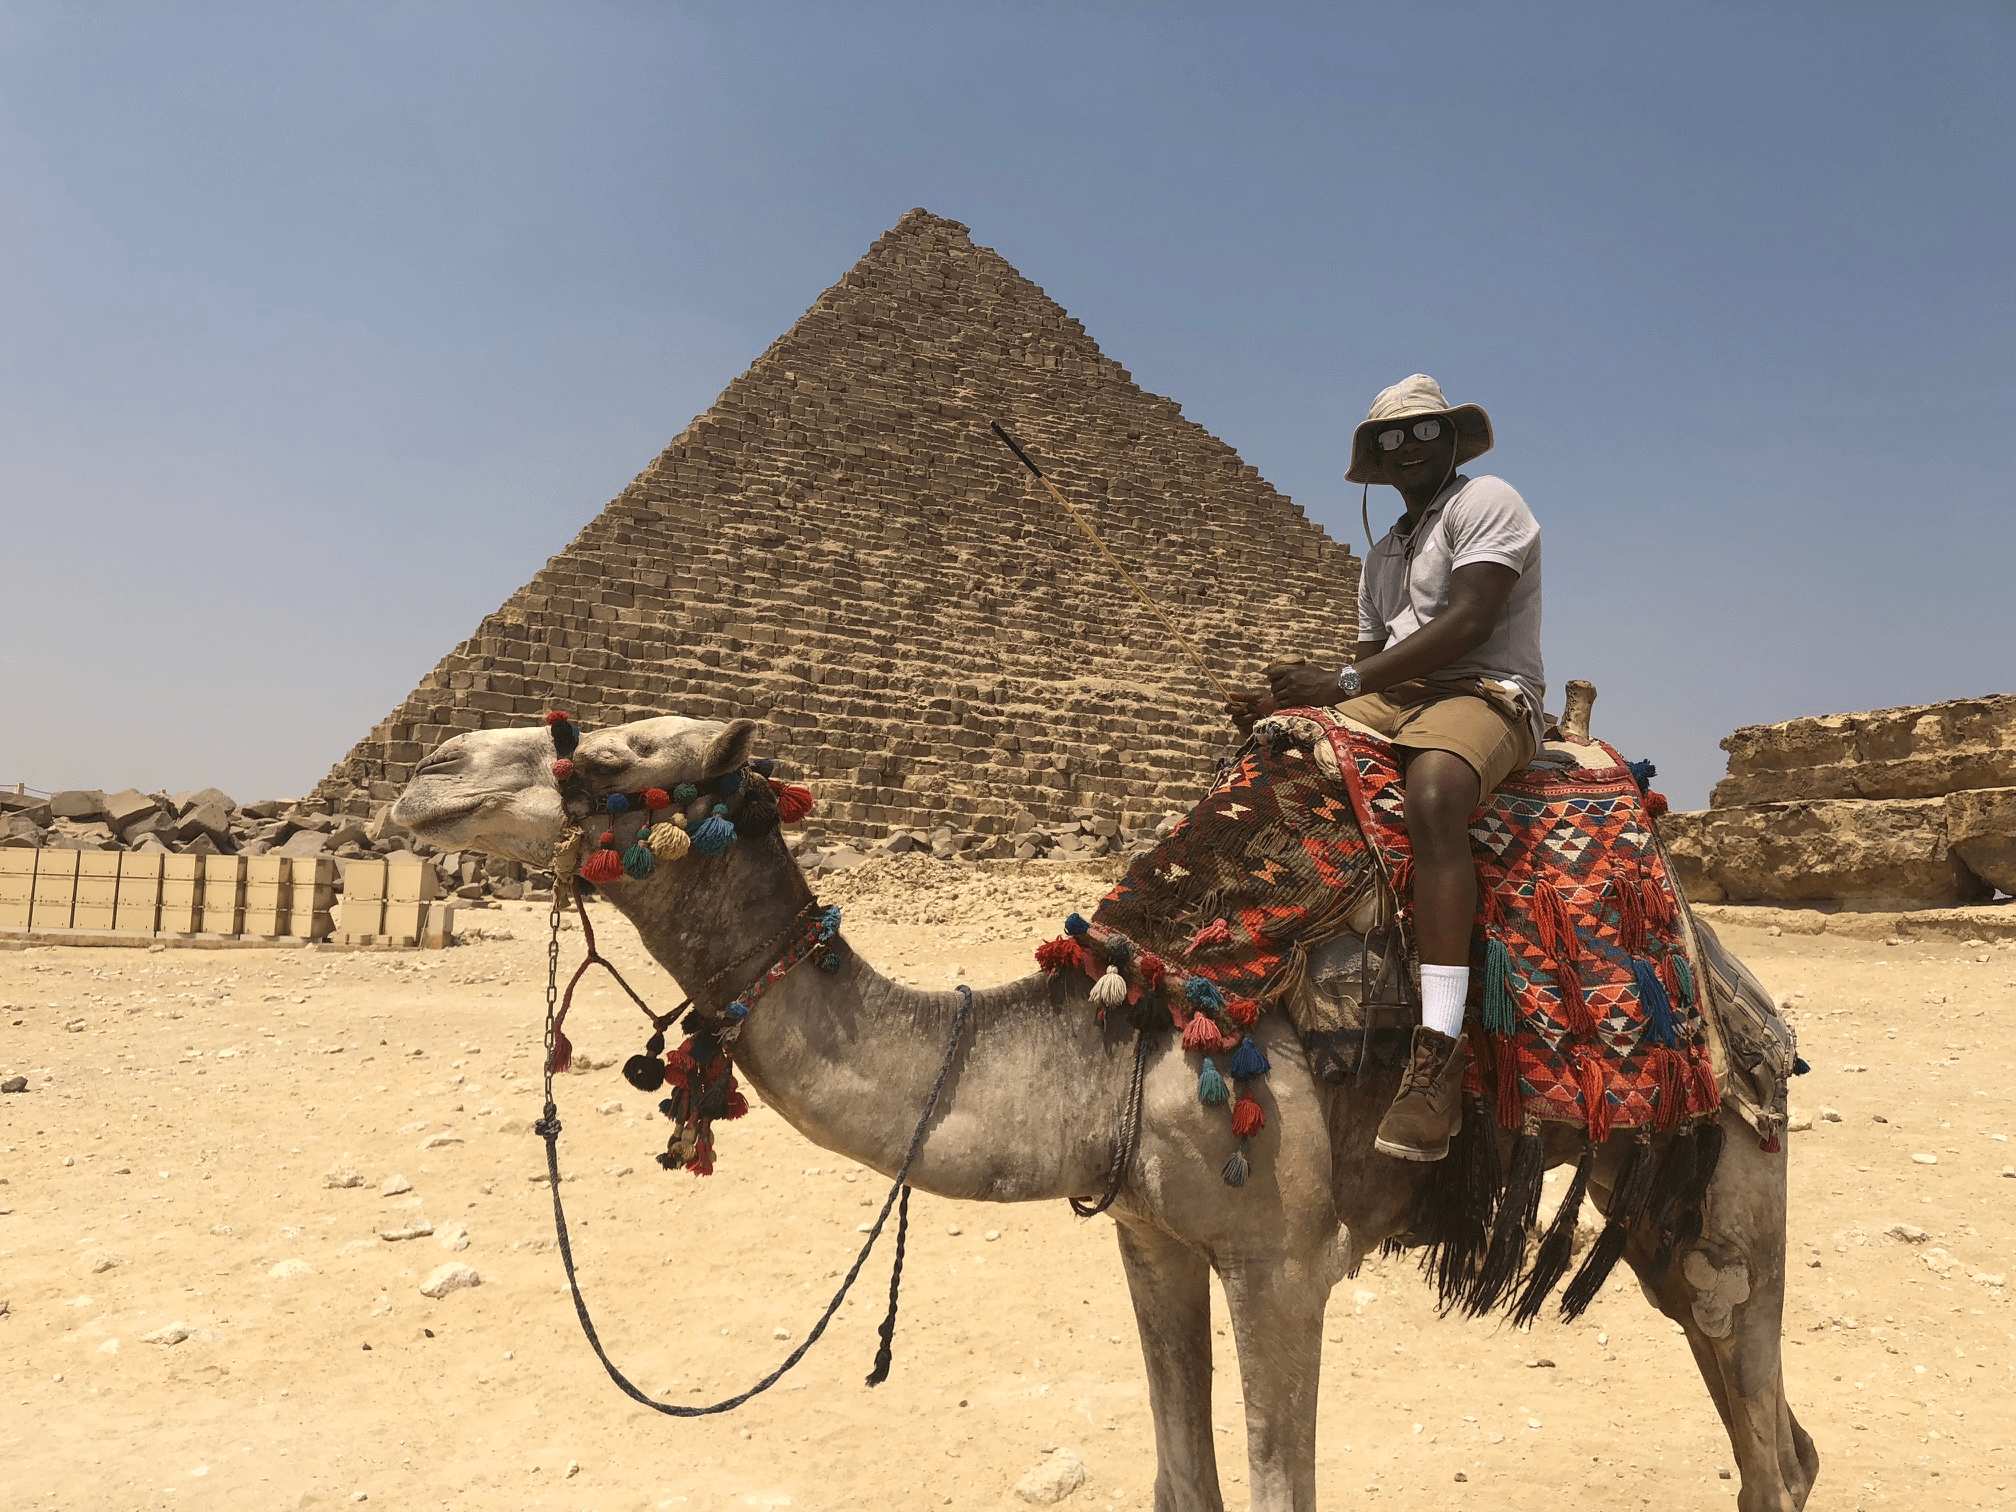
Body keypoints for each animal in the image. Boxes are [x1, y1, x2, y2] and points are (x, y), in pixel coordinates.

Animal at [391, 712, 1818, 1512]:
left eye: (607, 755)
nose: (426, 770)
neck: (1120, 1043)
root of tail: (1736, 988)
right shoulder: (1150, 1239)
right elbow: (1183, 1483)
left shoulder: (1282, 1259)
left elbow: (1281, 1489)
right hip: (1653, 1206)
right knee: (1774, 1443)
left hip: (1734, 1185)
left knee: (1769, 1450)